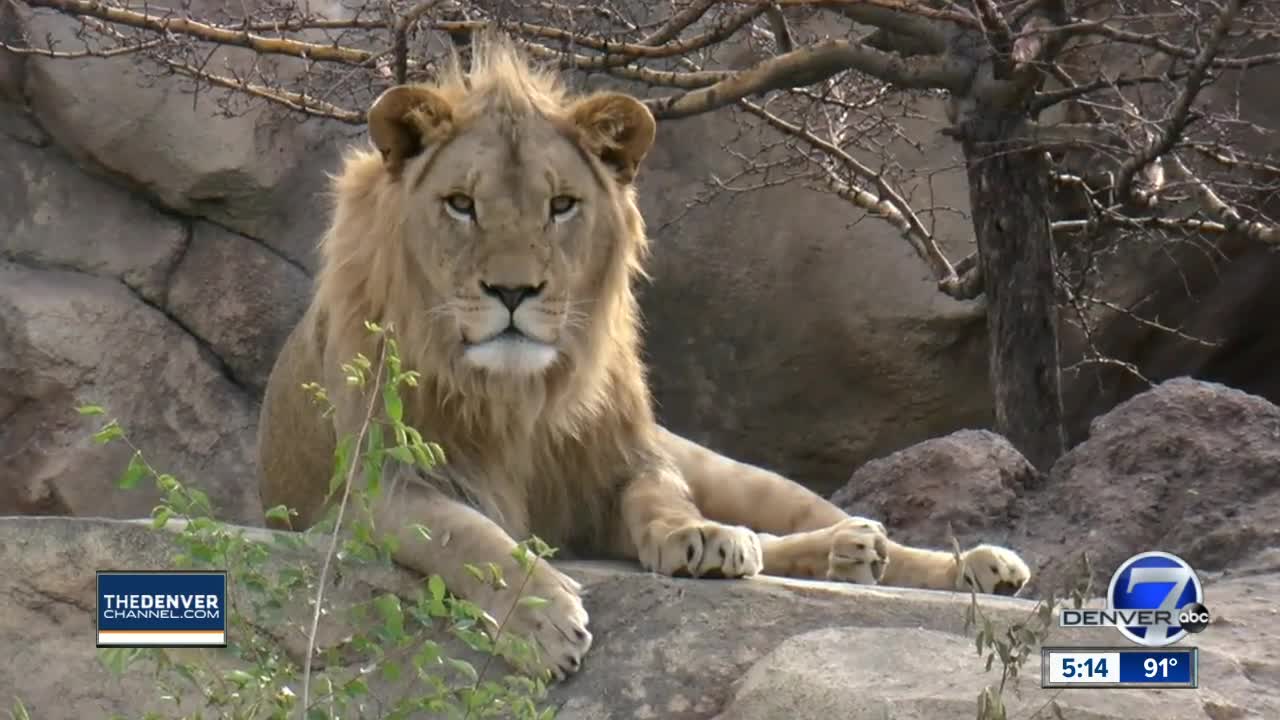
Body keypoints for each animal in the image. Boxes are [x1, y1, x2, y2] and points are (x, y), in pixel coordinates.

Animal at [257, 35, 1029, 676]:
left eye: (561, 205)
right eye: (460, 204)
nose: (513, 290)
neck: (516, 395)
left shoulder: (628, 459)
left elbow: (660, 499)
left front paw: (699, 537)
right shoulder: (378, 487)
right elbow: (470, 538)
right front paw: (544, 622)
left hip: (729, 469)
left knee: (808, 521)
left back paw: (959, 562)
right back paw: (846, 555)